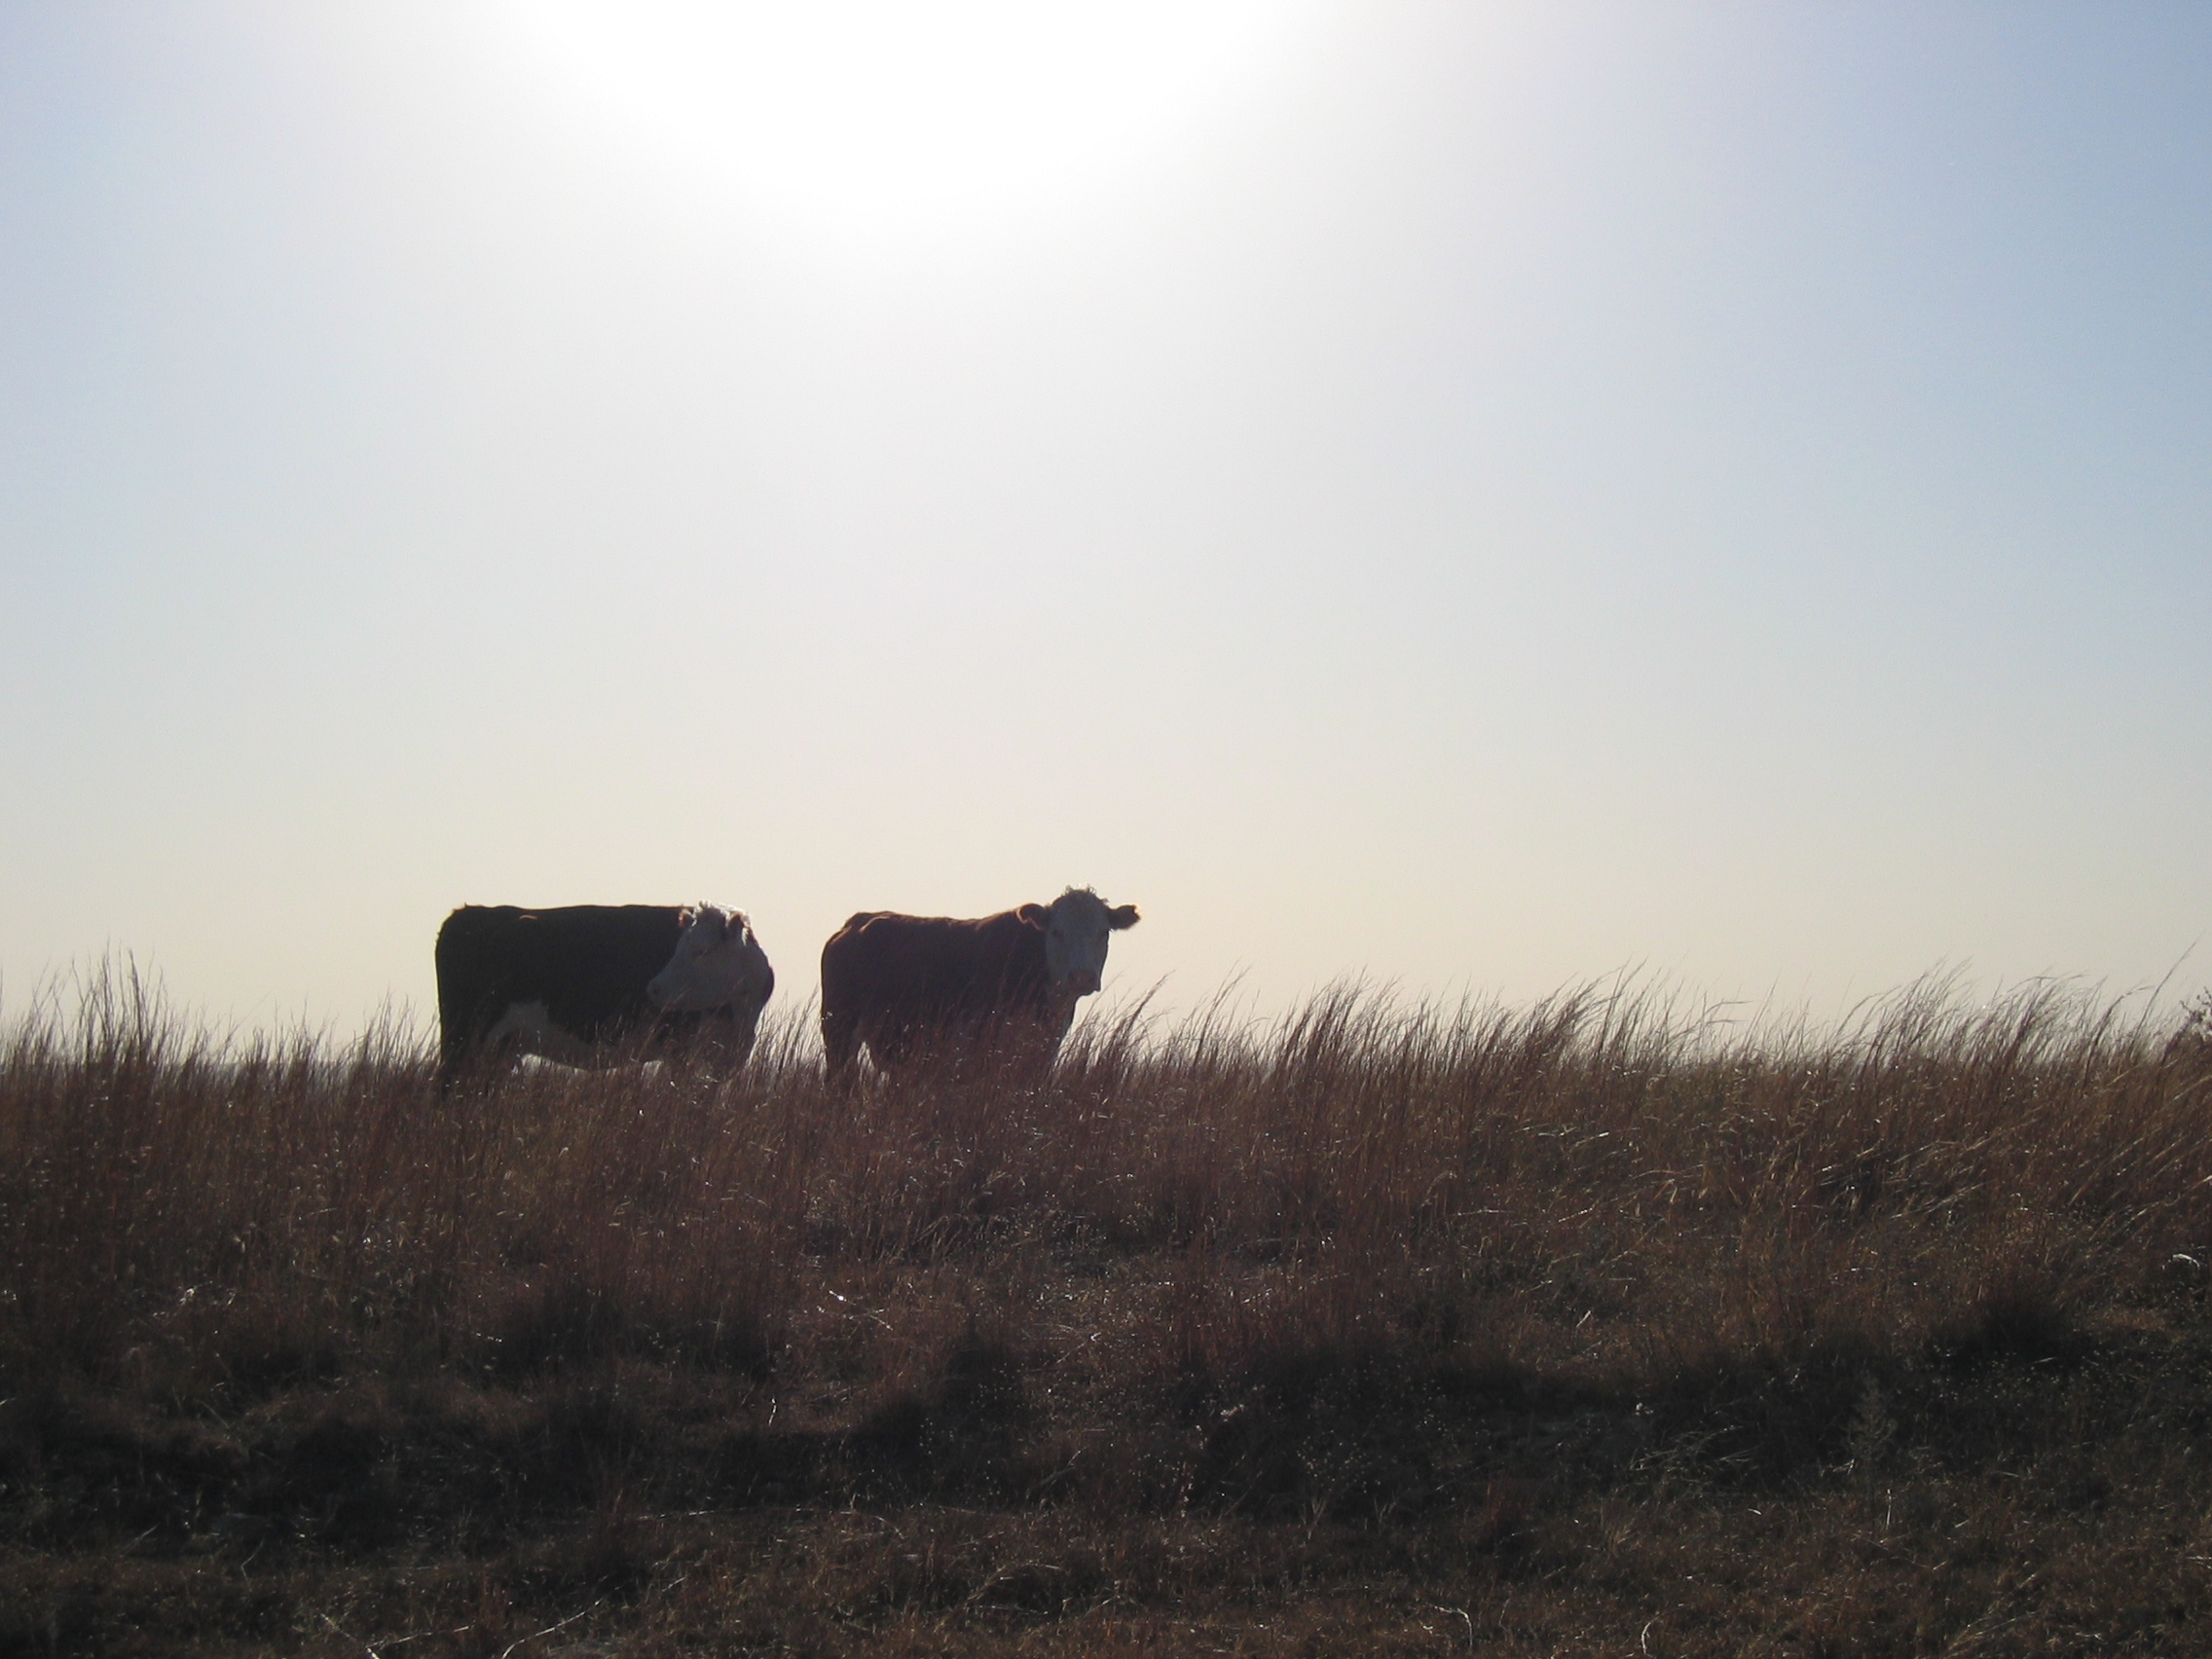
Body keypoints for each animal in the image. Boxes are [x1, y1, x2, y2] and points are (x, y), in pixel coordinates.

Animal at [435, 911, 774, 1092]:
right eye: (678, 947)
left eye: (701, 950)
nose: (653, 989)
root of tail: (467, 913)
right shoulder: (680, 1051)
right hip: (463, 1037)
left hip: (500, 1048)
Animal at [827, 884, 1150, 1092]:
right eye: (1057, 932)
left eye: (1103, 932)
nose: (1081, 976)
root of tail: (858, 922)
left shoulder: (1043, 1052)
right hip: (839, 1031)